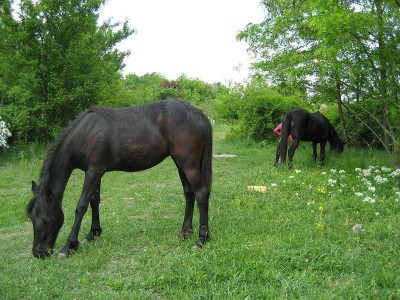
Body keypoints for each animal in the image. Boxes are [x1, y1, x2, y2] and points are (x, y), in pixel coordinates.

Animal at [25, 99, 212, 258]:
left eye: (44, 219)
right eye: (32, 218)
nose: (39, 253)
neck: (85, 134)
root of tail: (198, 113)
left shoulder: (93, 172)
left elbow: (81, 206)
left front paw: (69, 245)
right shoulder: (95, 172)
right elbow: (94, 201)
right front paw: (94, 232)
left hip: (188, 164)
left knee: (201, 194)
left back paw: (201, 239)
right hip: (180, 163)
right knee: (189, 194)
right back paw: (185, 232)